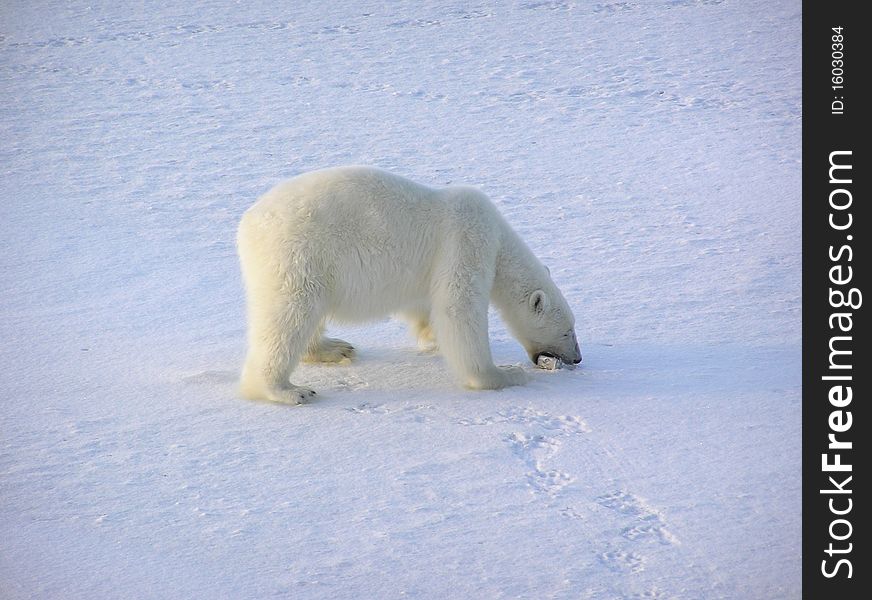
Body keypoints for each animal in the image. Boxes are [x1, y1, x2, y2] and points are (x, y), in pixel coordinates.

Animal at [235, 166, 584, 406]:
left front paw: (430, 336)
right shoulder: (467, 239)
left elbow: (424, 305)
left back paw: (334, 347)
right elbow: (458, 309)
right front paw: (504, 374)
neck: (499, 238)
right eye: (568, 331)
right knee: (289, 316)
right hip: (297, 254)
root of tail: (247, 224)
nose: (577, 358)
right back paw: (289, 390)